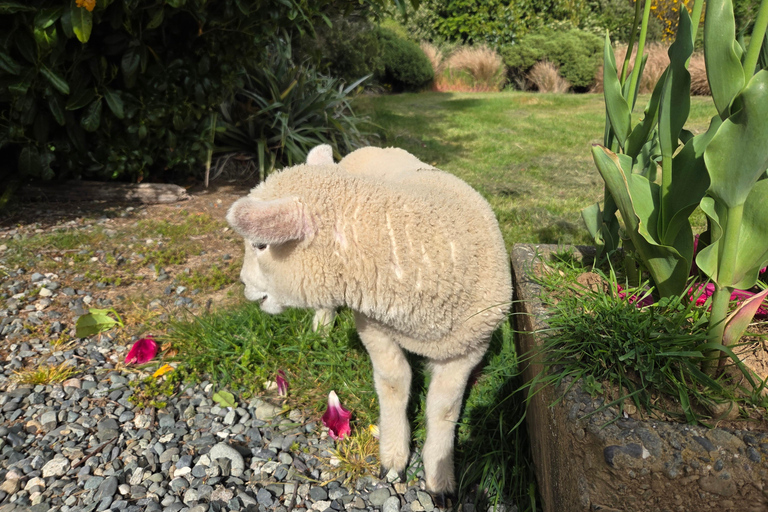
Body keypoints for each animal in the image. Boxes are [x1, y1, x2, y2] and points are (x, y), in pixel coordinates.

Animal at [227, 145, 512, 503]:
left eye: (260, 245)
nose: (243, 284)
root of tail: (372, 147)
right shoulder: (373, 327)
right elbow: (394, 383)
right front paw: (393, 456)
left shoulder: (469, 348)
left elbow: (444, 409)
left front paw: (439, 475)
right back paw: (322, 327)